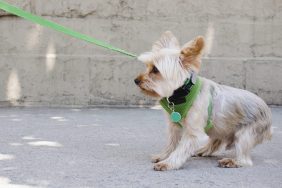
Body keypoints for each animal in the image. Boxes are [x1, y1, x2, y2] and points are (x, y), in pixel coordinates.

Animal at [135, 31, 272, 171]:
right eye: (147, 66)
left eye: (155, 70)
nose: (136, 80)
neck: (182, 93)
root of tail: (267, 110)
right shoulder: (174, 127)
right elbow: (172, 143)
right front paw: (163, 156)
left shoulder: (193, 132)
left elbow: (181, 149)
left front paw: (168, 163)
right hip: (221, 127)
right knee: (217, 140)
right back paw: (203, 150)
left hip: (246, 133)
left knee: (244, 157)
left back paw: (232, 161)